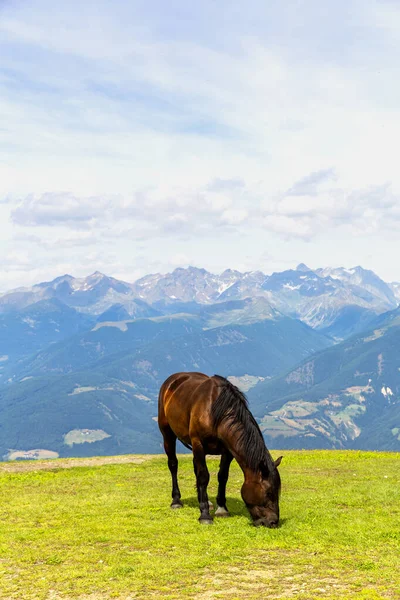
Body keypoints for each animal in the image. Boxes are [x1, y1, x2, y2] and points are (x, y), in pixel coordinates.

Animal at [158, 370, 282, 524]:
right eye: (269, 492)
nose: (273, 522)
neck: (215, 412)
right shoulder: (198, 444)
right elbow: (204, 476)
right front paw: (205, 515)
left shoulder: (227, 451)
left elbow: (222, 476)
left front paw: (221, 508)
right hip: (168, 434)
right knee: (173, 464)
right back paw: (176, 501)